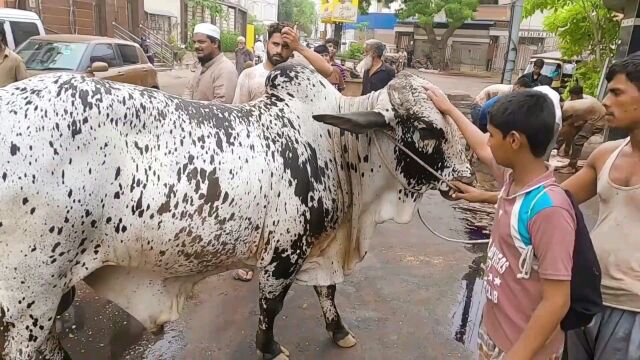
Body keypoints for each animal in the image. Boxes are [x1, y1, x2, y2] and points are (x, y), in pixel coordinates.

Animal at [0, 63, 470, 358]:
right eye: (427, 129)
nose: (468, 177)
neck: (334, 144)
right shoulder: (284, 252)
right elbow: (271, 306)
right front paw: (269, 348)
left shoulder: (319, 248)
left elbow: (328, 291)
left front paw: (339, 332)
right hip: (31, 297)